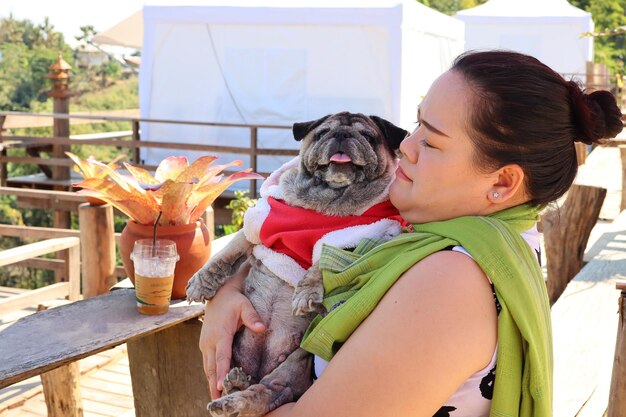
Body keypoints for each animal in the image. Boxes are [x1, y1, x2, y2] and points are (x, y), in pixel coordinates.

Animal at [185, 111, 408, 416]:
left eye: (368, 136)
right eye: (322, 132)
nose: (342, 135)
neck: (327, 202)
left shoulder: (363, 238)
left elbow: (322, 261)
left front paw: (306, 293)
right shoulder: (260, 225)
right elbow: (230, 250)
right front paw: (203, 282)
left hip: (294, 364)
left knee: (266, 393)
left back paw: (234, 401)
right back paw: (234, 384)